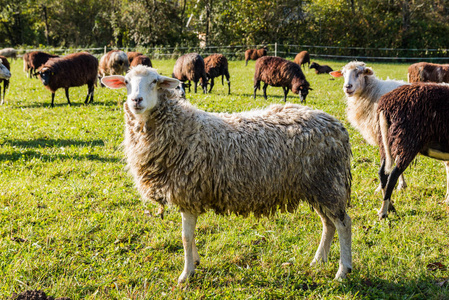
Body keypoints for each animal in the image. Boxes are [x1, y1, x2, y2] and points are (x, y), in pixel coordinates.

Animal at [101, 65, 354, 284]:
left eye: (154, 82)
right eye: (126, 82)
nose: (136, 101)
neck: (181, 129)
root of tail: (336, 125)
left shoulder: (188, 192)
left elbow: (185, 237)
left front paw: (186, 275)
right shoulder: (190, 195)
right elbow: (190, 237)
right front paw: (195, 262)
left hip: (328, 181)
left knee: (343, 224)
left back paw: (343, 271)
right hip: (316, 185)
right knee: (328, 224)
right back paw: (318, 260)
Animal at [328, 61, 410, 191]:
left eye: (359, 73)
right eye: (344, 73)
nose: (347, 87)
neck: (373, 92)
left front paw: (390, 186)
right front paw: (398, 185)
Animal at [374, 83, 448, 219]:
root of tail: (386, 105)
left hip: (386, 141)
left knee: (383, 173)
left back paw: (390, 207)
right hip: (406, 142)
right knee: (392, 176)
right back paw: (384, 212)